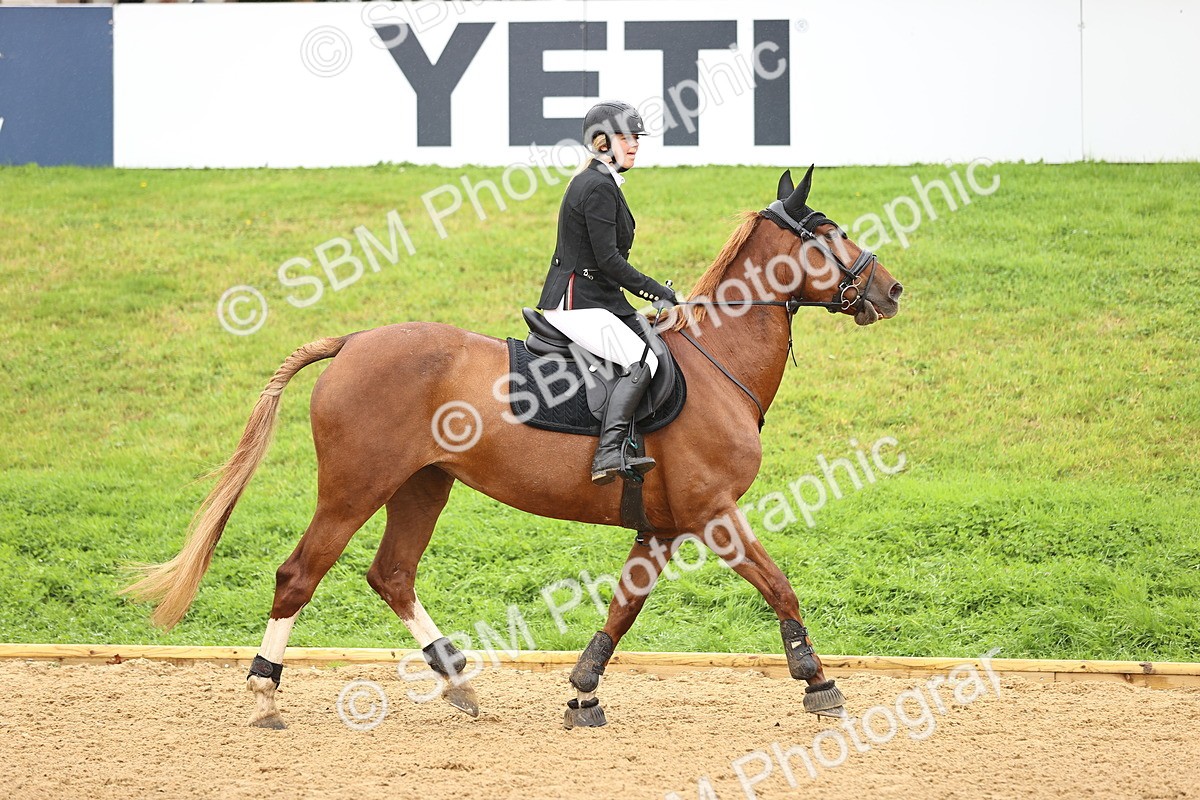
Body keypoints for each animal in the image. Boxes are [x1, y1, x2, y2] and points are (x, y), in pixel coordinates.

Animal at [122, 165, 903, 730]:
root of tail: (353, 341)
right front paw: (818, 681)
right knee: (299, 575)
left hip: (423, 484)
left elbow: (622, 608)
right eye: (830, 233)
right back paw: (265, 692)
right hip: (354, 487)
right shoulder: (713, 512)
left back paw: (459, 684)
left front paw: (584, 692)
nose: (891, 289)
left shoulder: (663, 524)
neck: (717, 362)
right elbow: (778, 585)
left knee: (392, 574)